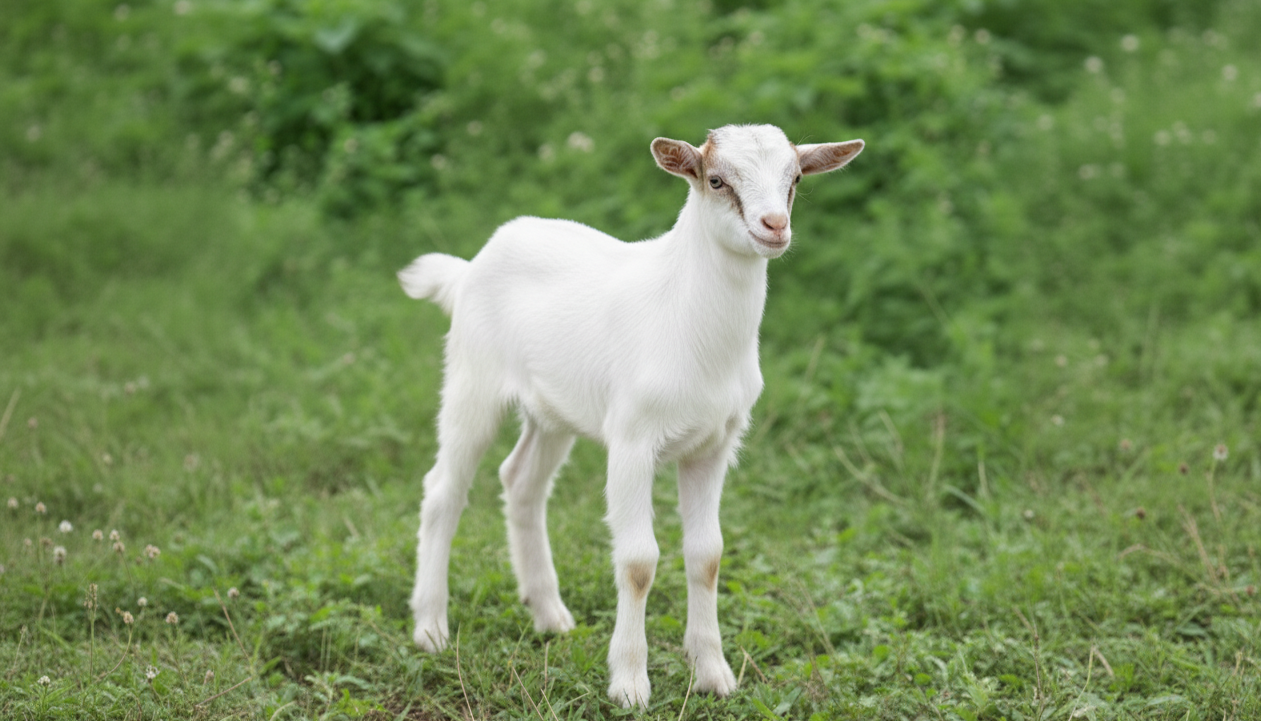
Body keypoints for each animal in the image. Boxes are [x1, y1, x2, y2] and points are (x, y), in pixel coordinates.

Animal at [398, 124, 864, 708]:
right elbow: (639, 561)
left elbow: (707, 555)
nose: (774, 226)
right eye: (716, 180)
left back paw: (549, 614)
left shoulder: (715, 445)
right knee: (444, 490)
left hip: (553, 412)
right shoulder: (631, 441)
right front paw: (629, 684)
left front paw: (714, 673)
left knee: (522, 482)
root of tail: (468, 269)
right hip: (471, 380)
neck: (690, 321)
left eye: (796, 177)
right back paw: (431, 628)